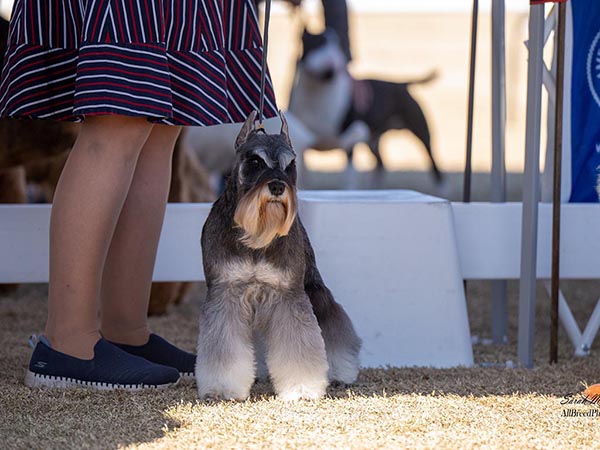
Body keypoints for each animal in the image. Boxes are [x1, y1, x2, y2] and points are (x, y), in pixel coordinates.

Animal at [196, 110, 360, 400]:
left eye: (290, 164)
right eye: (255, 161)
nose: (277, 187)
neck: (255, 236)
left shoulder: (289, 295)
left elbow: (299, 347)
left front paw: (303, 387)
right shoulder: (225, 293)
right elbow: (223, 346)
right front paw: (222, 387)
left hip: (313, 285)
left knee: (333, 322)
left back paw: (342, 370)